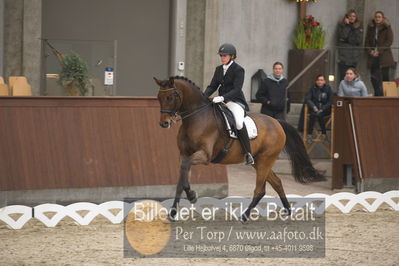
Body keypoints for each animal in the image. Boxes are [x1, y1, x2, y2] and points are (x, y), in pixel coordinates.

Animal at [154, 76, 324, 221]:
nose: (164, 123)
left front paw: (192, 196)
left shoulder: (204, 155)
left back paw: (244, 216)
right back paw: (287, 211)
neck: (196, 118)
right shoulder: (184, 155)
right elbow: (180, 182)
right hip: (260, 162)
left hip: (265, 160)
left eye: (170, 97)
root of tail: (277, 122)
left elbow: (184, 174)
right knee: (276, 182)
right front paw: (173, 213)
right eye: (159, 98)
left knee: (260, 189)